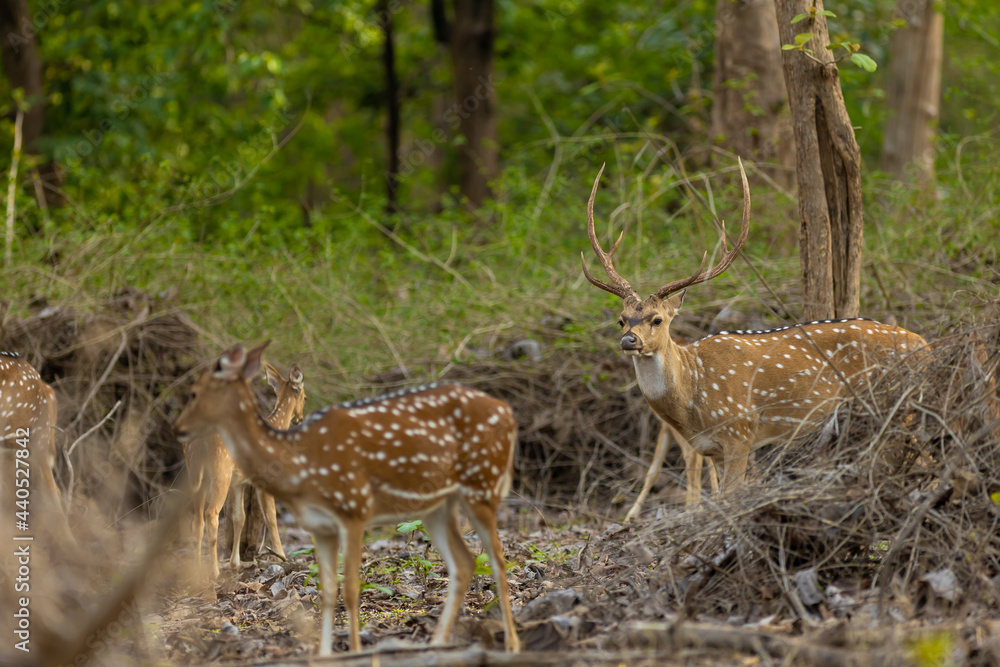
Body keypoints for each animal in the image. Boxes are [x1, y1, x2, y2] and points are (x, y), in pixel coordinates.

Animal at [183, 361, 305, 580]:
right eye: (305, 397)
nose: (300, 418)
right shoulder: (265, 476)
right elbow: (271, 516)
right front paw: (281, 556)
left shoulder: (238, 482)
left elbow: (238, 517)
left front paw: (236, 563)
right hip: (220, 471)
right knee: (211, 514)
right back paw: (214, 571)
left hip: (195, 473)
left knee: (197, 519)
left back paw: (197, 570)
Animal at [582, 159, 928, 497]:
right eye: (621, 319)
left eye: (657, 319)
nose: (629, 341)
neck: (694, 397)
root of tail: (924, 344)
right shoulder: (712, 449)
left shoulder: (739, 430)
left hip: (900, 403)